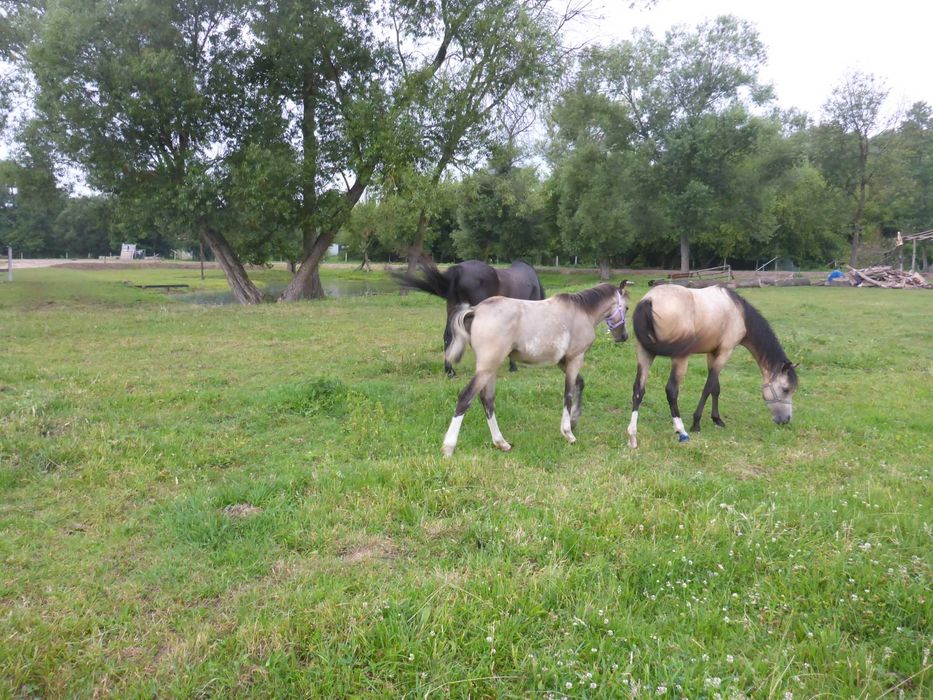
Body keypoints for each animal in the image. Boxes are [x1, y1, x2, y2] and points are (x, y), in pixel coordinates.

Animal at [440, 281, 631, 456]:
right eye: (627, 307)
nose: (623, 336)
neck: (582, 311)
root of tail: (476, 310)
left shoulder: (563, 361)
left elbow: (579, 384)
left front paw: (574, 421)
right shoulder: (576, 358)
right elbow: (568, 394)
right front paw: (568, 433)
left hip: (490, 369)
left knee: (487, 400)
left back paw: (501, 443)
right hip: (486, 368)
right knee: (466, 398)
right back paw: (449, 447)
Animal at [625, 284, 798, 448]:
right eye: (786, 389)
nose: (786, 420)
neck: (739, 312)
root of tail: (649, 300)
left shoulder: (712, 354)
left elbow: (716, 387)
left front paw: (717, 419)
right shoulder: (725, 352)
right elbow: (708, 387)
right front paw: (696, 423)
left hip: (645, 353)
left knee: (638, 390)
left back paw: (632, 435)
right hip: (679, 358)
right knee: (671, 390)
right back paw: (682, 431)